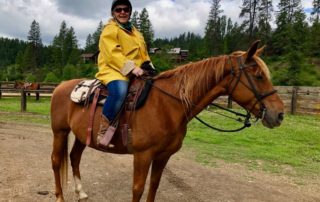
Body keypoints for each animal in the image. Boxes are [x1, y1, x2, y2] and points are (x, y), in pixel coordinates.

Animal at [51, 41, 284, 202]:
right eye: (258, 76)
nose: (279, 114)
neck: (166, 105)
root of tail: (60, 85)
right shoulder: (143, 156)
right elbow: (138, 189)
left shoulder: (163, 156)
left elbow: (154, 186)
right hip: (60, 132)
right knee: (56, 161)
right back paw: (60, 196)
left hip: (82, 136)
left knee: (74, 158)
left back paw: (81, 193)